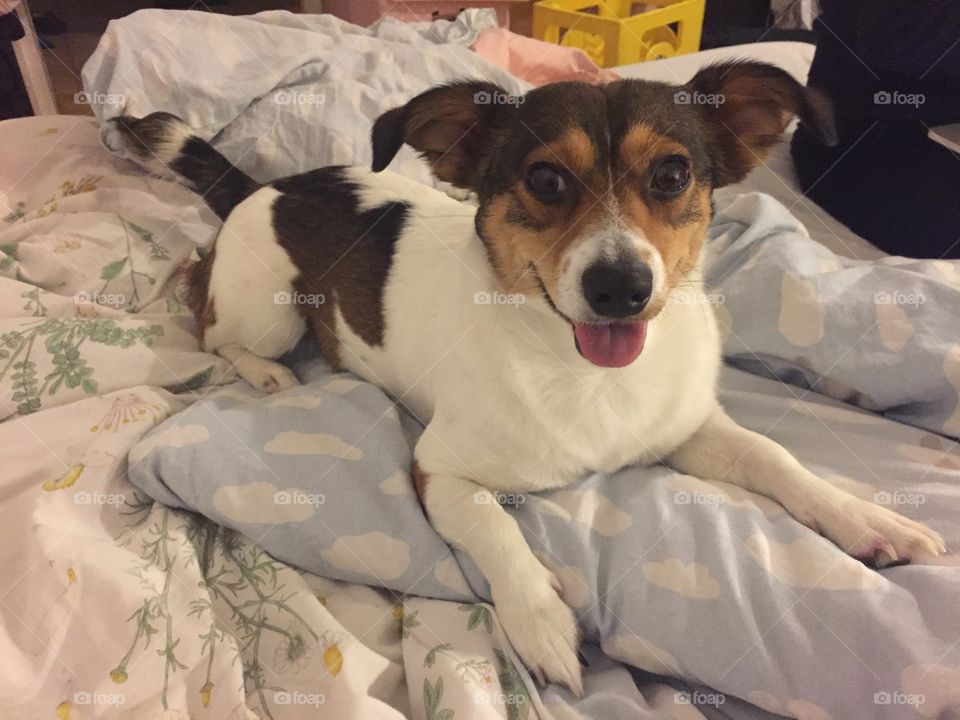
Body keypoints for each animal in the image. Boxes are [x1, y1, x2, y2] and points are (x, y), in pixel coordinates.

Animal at [105, 63, 944, 696]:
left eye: (673, 174)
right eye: (544, 179)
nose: (621, 287)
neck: (585, 371)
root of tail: (264, 186)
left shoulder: (689, 427)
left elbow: (777, 458)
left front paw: (867, 519)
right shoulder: (438, 471)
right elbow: (497, 527)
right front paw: (540, 622)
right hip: (269, 309)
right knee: (206, 312)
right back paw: (267, 373)